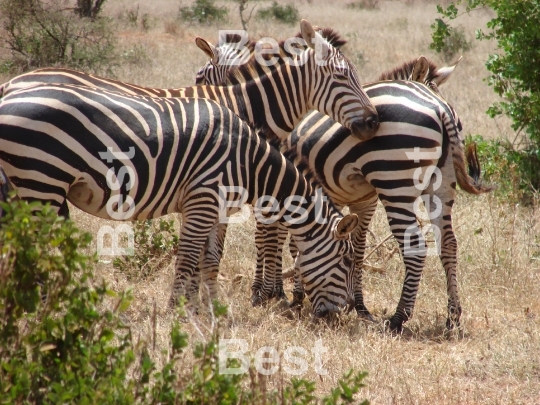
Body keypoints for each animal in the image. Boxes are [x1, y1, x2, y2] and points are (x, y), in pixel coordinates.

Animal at [1, 83, 362, 318]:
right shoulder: (203, 199)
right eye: (346, 261)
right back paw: (41, 308)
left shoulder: (216, 208)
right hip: (41, 180)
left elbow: (209, 260)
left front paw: (207, 309)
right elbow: (188, 258)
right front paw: (178, 311)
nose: (342, 314)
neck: (249, 163)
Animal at [196, 33, 492, 332]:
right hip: (441, 184)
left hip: (395, 183)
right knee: (448, 243)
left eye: (202, 76)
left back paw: (398, 319)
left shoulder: (278, 185)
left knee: (416, 248)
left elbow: (271, 238)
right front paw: (351, 305)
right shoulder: (356, 200)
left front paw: (271, 293)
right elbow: (345, 249)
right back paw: (453, 318)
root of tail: (440, 109)